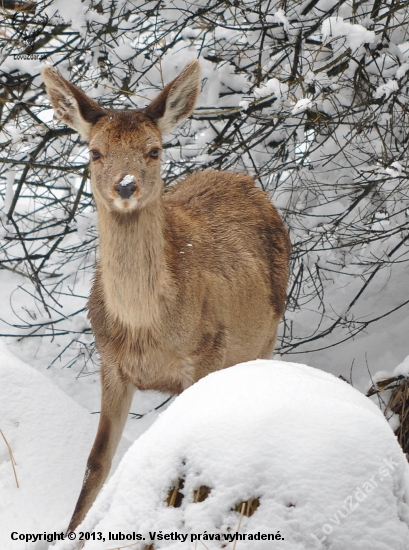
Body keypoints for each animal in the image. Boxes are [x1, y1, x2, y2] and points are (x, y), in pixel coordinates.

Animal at [41, 60, 290, 536]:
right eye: (95, 152)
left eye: (153, 150)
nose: (125, 186)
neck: (144, 328)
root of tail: (244, 178)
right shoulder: (111, 363)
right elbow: (96, 462)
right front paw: (69, 534)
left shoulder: (206, 353)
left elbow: (183, 456)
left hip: (265, 336)